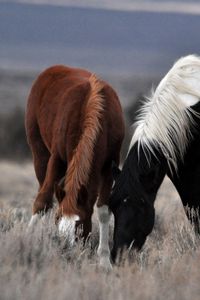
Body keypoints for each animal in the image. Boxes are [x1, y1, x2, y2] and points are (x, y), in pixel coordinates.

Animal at [25, 65, 124, 270]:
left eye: (80, 224)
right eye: (58, 220)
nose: (65, 251)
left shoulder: (109, 165)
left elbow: (103, 210)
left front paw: (104, 260)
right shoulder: (57, 159)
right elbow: (42, 201)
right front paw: (28, 239)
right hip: (39, 154)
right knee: (43, 192)